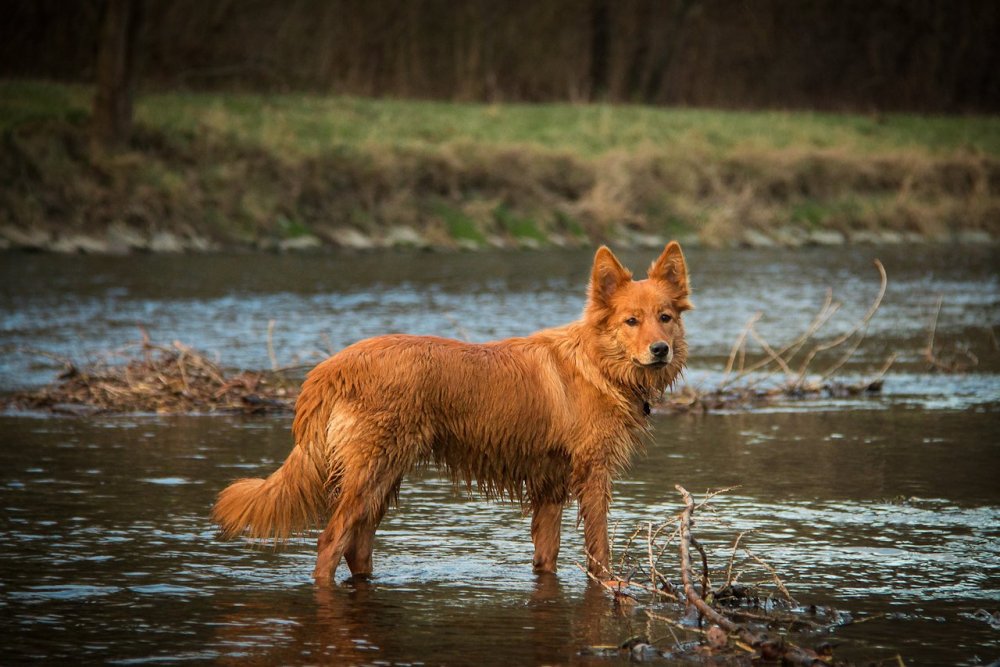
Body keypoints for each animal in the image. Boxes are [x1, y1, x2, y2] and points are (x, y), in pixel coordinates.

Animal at [214, 243, 692, 580]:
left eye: (665, 317)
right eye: (631, 321)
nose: (660, 350)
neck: (598, 364)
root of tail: (333, 366)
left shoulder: (549, 487)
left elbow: (546, 556)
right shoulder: (593, 476)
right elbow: (599, 550)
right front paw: (611, 586)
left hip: (384, 476)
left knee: (357, 546)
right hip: (371, 472)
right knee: (330, 543)